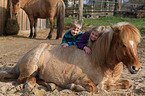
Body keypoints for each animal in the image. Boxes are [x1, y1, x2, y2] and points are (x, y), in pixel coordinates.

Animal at [0, 22, 141, 92]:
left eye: (137, 43)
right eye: (123, 44)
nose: (136, 68)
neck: (99, 61)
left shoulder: (114, 80)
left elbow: (127, 83)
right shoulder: (81, 79)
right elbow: (93, 87)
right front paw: (73, 87)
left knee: (37, 78)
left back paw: (51, 85)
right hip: (31, 67)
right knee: (24, 78)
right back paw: (30, 85)